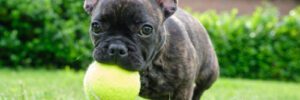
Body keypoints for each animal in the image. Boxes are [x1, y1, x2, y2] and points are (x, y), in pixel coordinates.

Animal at [83, 0, 219, 99]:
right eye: (96, 26)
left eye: (146, 29)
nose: (116, 47)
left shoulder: (183, 89)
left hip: (208, 76)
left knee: (199, 90)